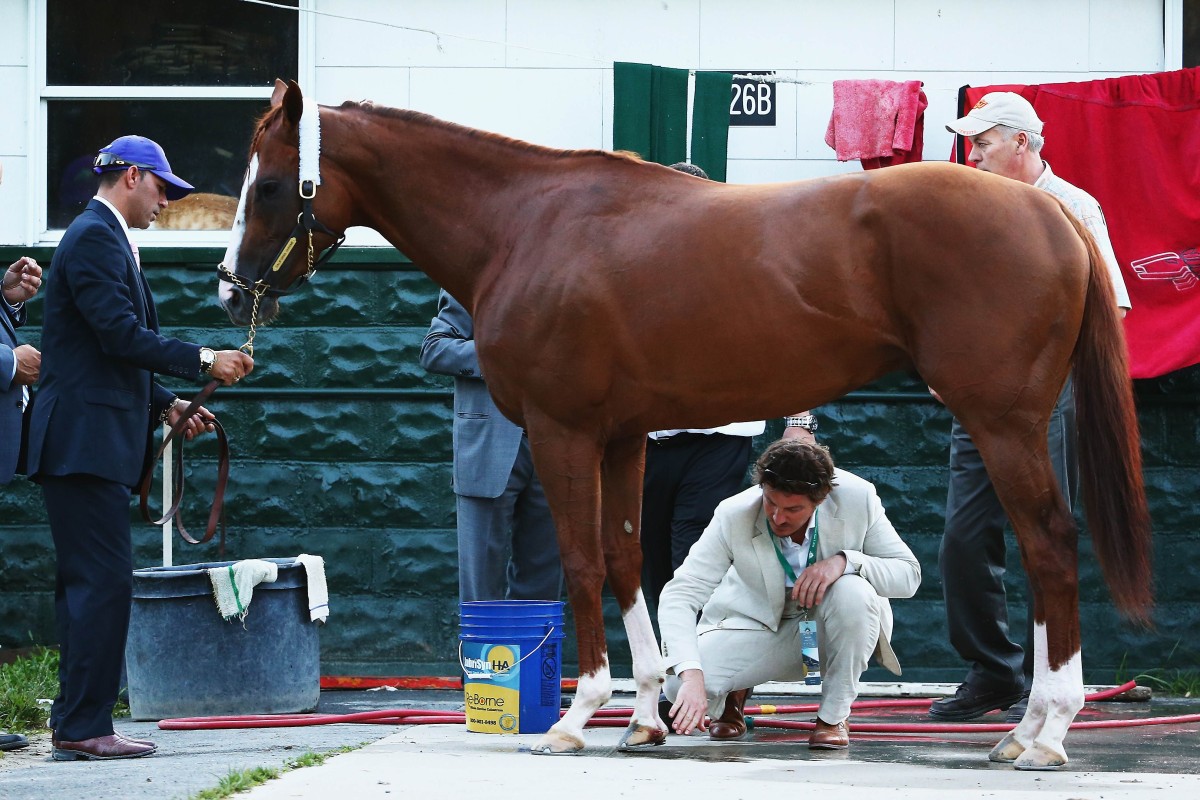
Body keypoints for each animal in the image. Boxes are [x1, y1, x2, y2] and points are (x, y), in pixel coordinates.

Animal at [220, 81, 1147, 767]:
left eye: (268, 185)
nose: (230, 290)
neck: (526, 224)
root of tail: (1050, 212)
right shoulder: (623, 437)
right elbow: (628, 560)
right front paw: (643, 716)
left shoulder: (562, 432)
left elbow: (581, 562)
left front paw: (573, 719)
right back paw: (1022, 730)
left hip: (1005, 424)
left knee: (1049, 544)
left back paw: (1047, 731)